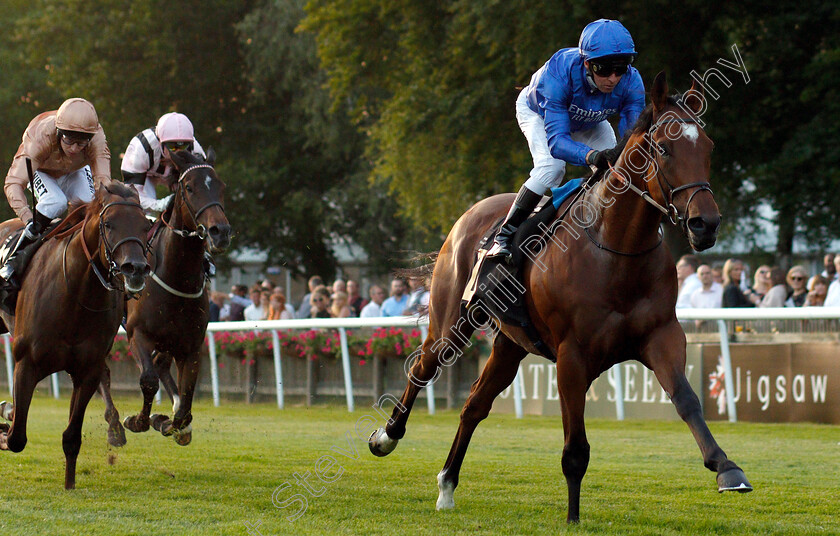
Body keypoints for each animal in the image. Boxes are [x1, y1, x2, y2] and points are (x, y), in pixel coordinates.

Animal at [0, 182, 149, 488]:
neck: (75, 293)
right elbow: (16, 436)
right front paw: (6, 419)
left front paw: (69, 485)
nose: (136, 268)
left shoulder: (86, 369)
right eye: (108, 223)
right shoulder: (26, 363)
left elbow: (71, 437)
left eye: (145, 225)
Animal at [102, 147, 230, 444]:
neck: (177, 278)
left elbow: (186, 402)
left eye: (221, 186)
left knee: (161, 365)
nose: (220, 232)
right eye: (189, 187)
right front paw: (137, 420)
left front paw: (171, 423)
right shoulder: (138, 333)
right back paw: (114, 425)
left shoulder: (191, 345)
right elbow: (148, 380)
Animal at [370, 73, 752, 520]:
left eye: (707, 146)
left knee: (474, 405)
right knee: (423, 368)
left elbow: (688, 400)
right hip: (451, 322)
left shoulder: (662, 336)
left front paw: (727, 469)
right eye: (663, 147)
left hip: (511, 344)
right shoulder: (573, 355)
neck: (615, 250)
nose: (704, 223)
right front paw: (573, 517)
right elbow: (575, 450)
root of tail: (469, 215)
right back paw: (386, 436)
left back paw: (447, 486)